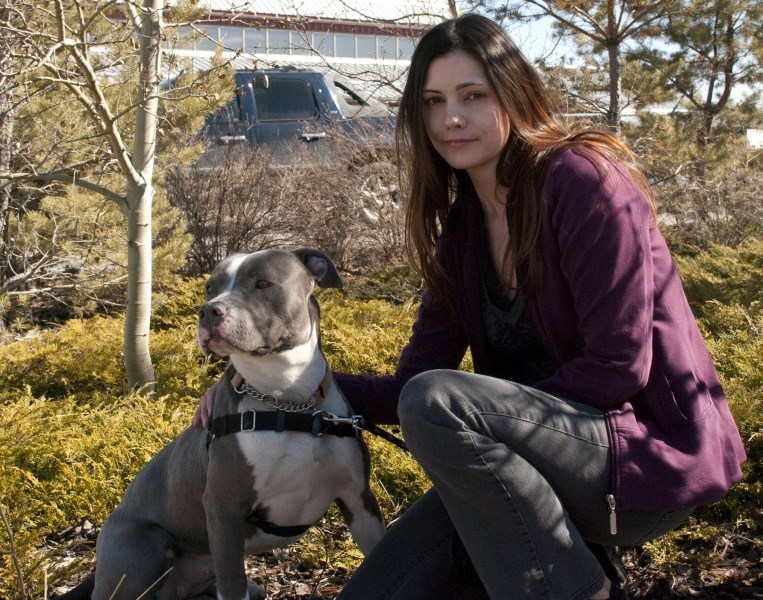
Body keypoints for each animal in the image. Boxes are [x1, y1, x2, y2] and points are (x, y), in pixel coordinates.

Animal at [58, 246, 388, 596]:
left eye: (262, 283)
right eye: (209, 288)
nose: (207, 311)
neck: (288, 402)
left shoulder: (358, 498)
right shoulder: (223, 509)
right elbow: (232, 586)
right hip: (143, 549)